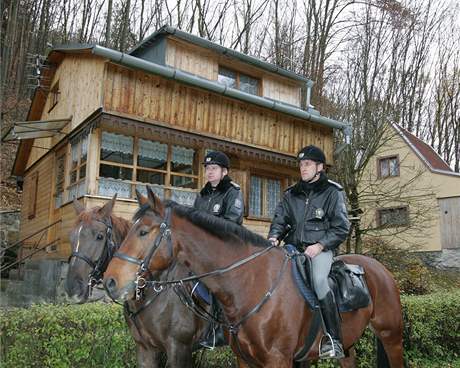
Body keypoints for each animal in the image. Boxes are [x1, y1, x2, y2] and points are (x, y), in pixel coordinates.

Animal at [103, 190, 402, 368]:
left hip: (392, 337)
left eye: (143, 232)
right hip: (348, 346)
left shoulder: (276, 359)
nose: (110, 281)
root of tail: (381, 268)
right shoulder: (244, 359)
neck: (251, 283)